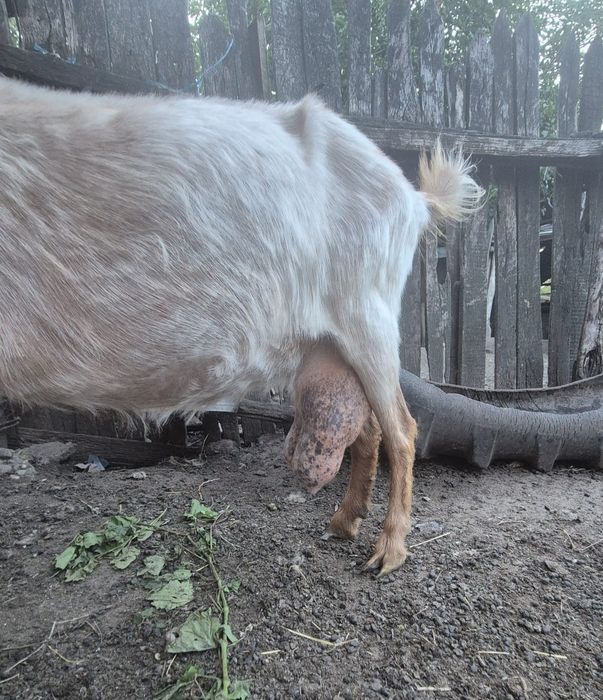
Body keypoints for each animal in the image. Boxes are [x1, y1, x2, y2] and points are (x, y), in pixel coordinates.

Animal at [0, 77, 482, 574]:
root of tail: (415, 198)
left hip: (370, 314)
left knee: (402, 430)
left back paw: (389, 550)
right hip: (335, 345)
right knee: (367, 431)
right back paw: (343, 523)